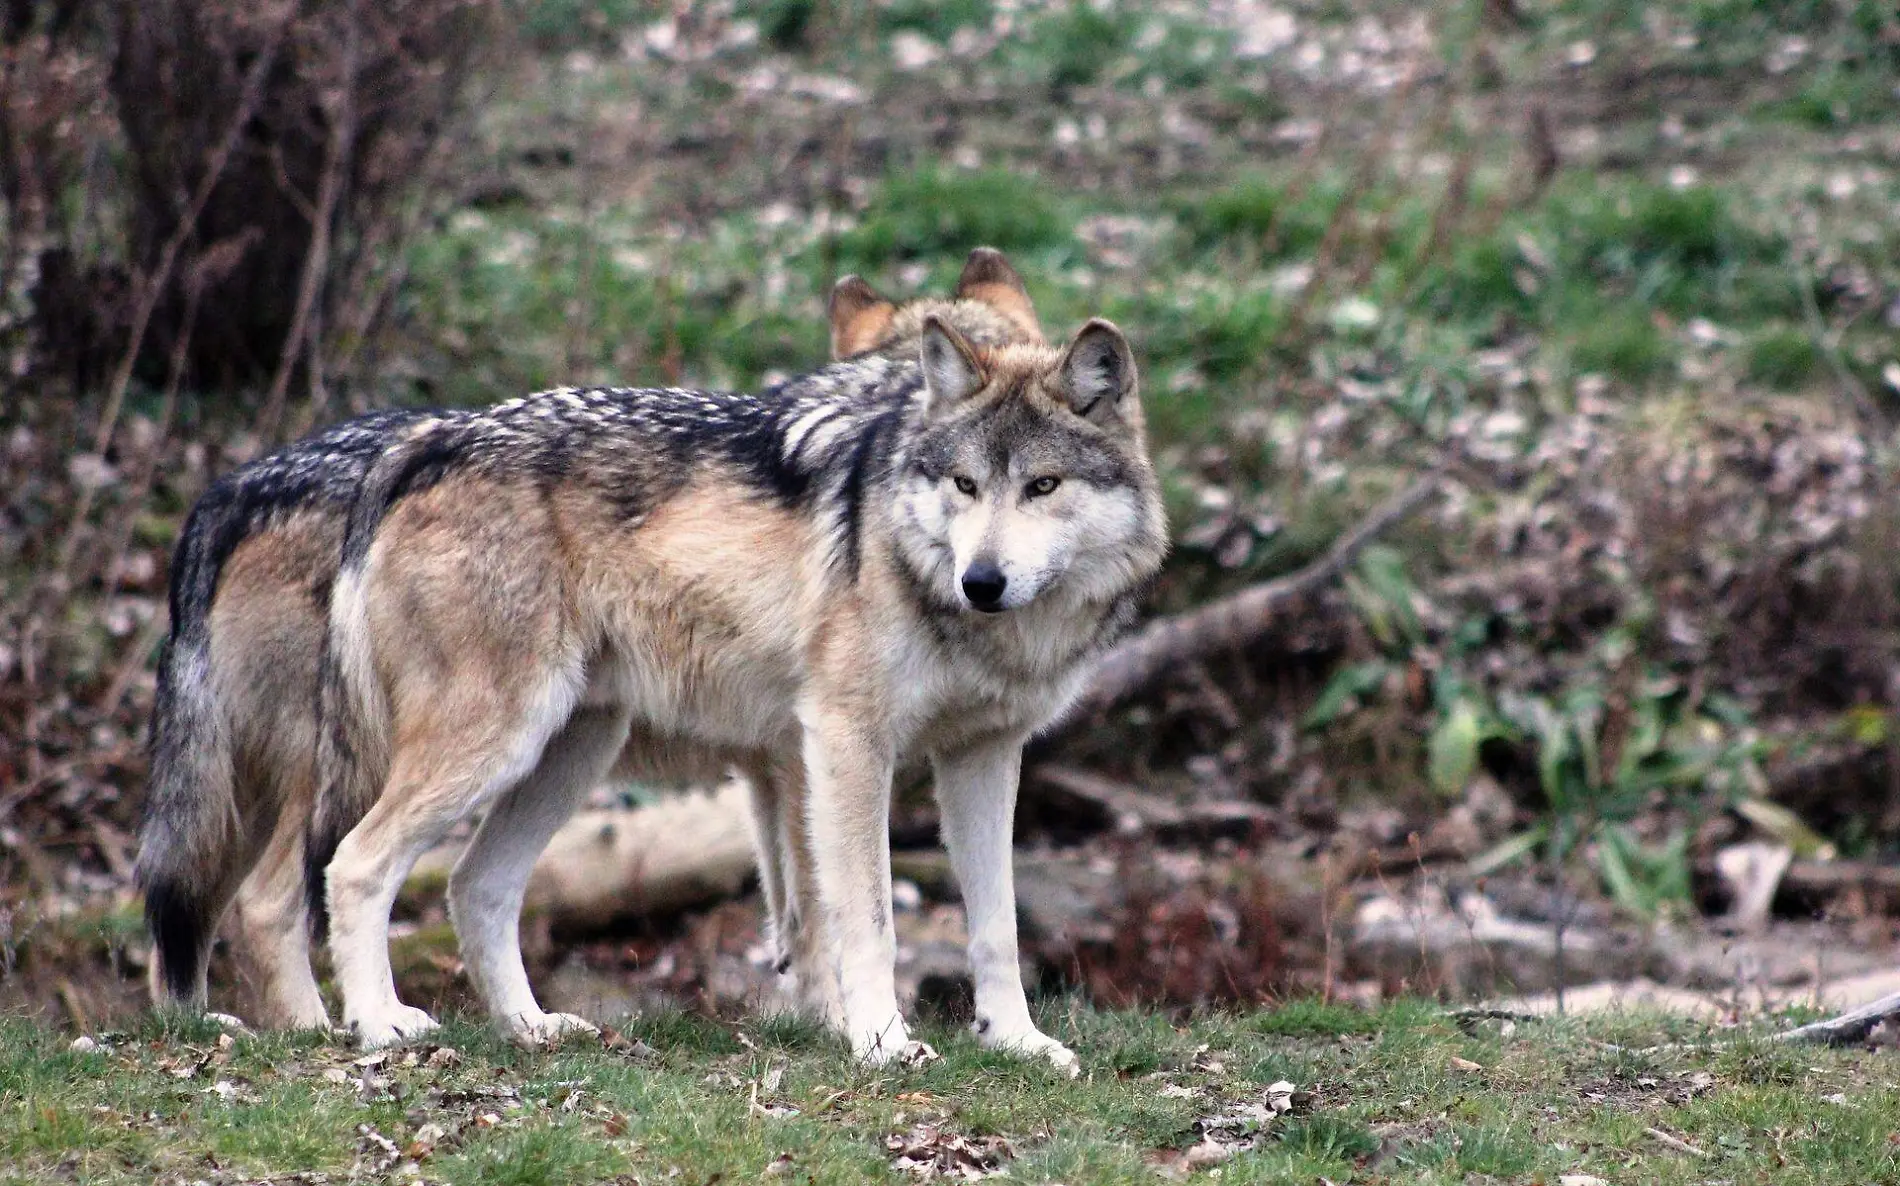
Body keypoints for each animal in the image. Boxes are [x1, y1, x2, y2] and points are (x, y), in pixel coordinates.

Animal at [307, 304, 1170, 1064]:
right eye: (964, 485)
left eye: (1042, 486)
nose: (981, 581)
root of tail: (429, 438)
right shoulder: (847, 741)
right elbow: (867, 915)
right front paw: (883, 1043)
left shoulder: (983, 756)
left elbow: (996, 923)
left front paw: (1018, 1042)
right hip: (498, 744)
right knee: (354, 865)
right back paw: (380, 1025)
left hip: (570, 753)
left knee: (474, 887)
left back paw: (531, 1029)